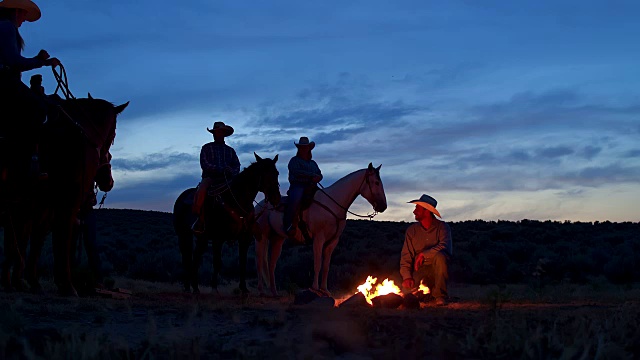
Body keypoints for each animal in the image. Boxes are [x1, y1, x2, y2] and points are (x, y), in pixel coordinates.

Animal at [0, 95, 127, 296]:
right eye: (113, 133)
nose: (110, 182)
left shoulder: (34, 214)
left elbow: (27, 245)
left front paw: (24, 280)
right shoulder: (62, 203)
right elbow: (60, 238)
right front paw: (65, 284)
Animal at [172, 153, 280, 296]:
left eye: (277, 173)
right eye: (265, 174)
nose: (276, 198)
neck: (237, 201)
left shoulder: (244, 239)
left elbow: (242, 263)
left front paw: (244, 289)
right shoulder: (218, 239)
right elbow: (217, 262)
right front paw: (214, 288)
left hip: (202, 238)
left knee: (195, 257)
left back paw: (193, 287)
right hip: (183, 236)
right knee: (187, 259)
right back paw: (189, 288)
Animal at [254, 163, 384, 296]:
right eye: (376, 182)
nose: (383, 206)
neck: (332, 204)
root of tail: (259, 205)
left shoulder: (332, 241)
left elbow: (326, 266)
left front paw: (325, 290)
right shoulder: (318, 239)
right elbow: (317, 264)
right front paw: (315, 288)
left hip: (278, 238)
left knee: (271, 264)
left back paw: (274, 292)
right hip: (261, 238)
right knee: (259, 262)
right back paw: (261, 290)